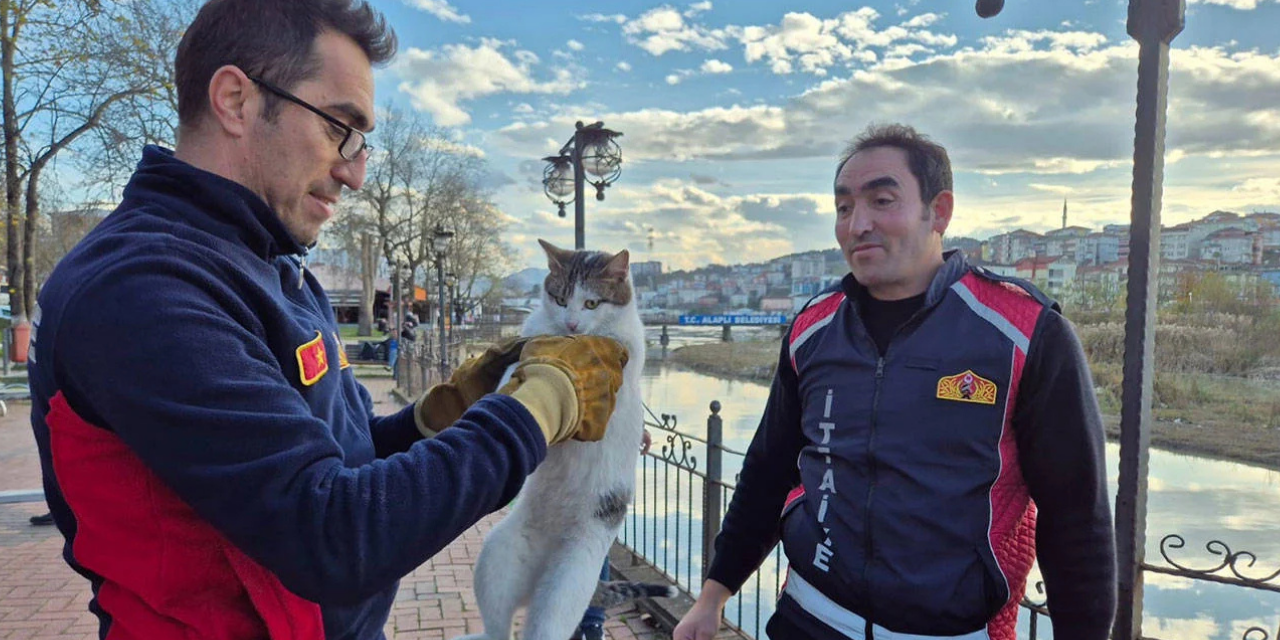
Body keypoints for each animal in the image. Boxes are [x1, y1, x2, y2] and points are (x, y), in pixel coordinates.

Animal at [455, 239, 675, 640]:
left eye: (591, 303)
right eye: (560, 299)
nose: (572, 323)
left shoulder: (623, 356)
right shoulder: (532, 339)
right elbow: (518, 363)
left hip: (565, 589)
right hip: (496, 559)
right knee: (499, 628)